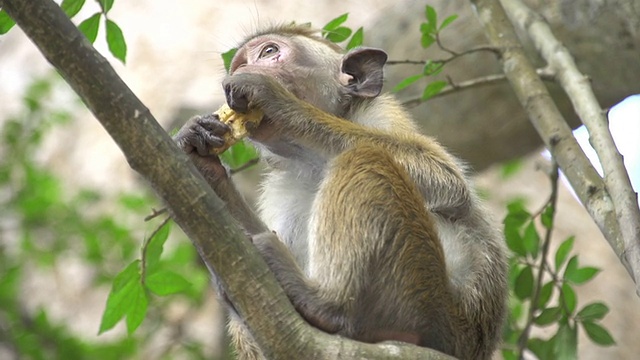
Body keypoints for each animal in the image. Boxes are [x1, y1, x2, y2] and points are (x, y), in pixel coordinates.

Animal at [174, 23, 504, 358]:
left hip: (426, 297)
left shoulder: (380, 114)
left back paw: (327, 305)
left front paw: (278, 101)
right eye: (240, 63)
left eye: (269, 52)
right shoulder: (281, 185)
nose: (241, 72)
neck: (311, 156)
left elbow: (448, 183)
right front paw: (202, 157)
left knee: (365, 158)